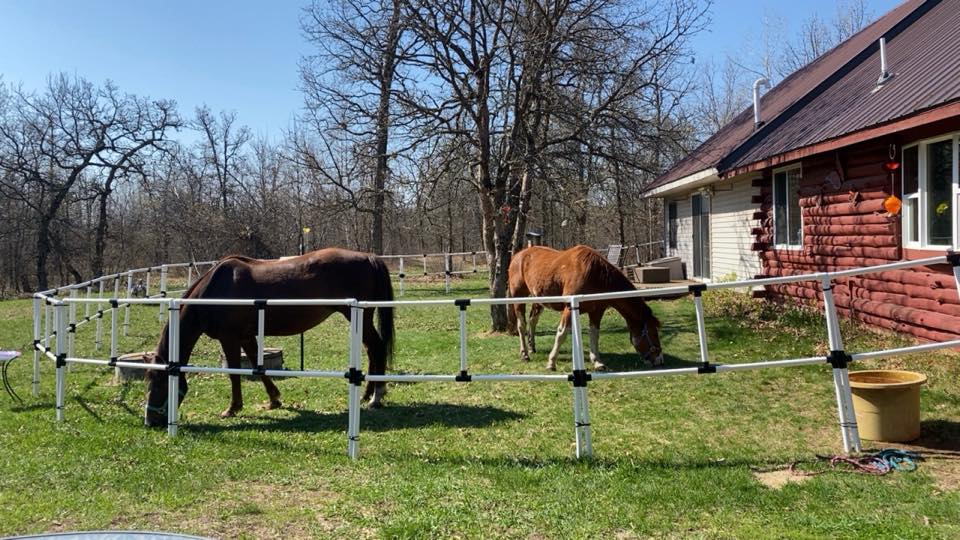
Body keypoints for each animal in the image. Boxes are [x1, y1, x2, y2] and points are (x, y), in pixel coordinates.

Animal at [144, 248, 395, 428]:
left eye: (159, 383)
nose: (150, 421)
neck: (213, 291)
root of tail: (369, 257)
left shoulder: (229, 338)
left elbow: (234, 373)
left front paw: (232, 409)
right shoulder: (246, 336)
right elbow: (258, 366)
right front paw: (274, 399)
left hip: (359, 317)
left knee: (376, 348)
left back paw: (376, 397)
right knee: (372, 350)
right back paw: (367, 395)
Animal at [508, 245, 663, 371]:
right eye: (654, 334)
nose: (659, 360)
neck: (594, 274)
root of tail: (518, 255)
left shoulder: (596, 311)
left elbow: (594, 334)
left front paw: (598, 362)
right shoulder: (569, 308)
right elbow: (562, 333)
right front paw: (551, 363)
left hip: (538, 300)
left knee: (533, 321)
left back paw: (532, 347)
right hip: (518, 297)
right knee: (522, 325)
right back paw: (524, 354)